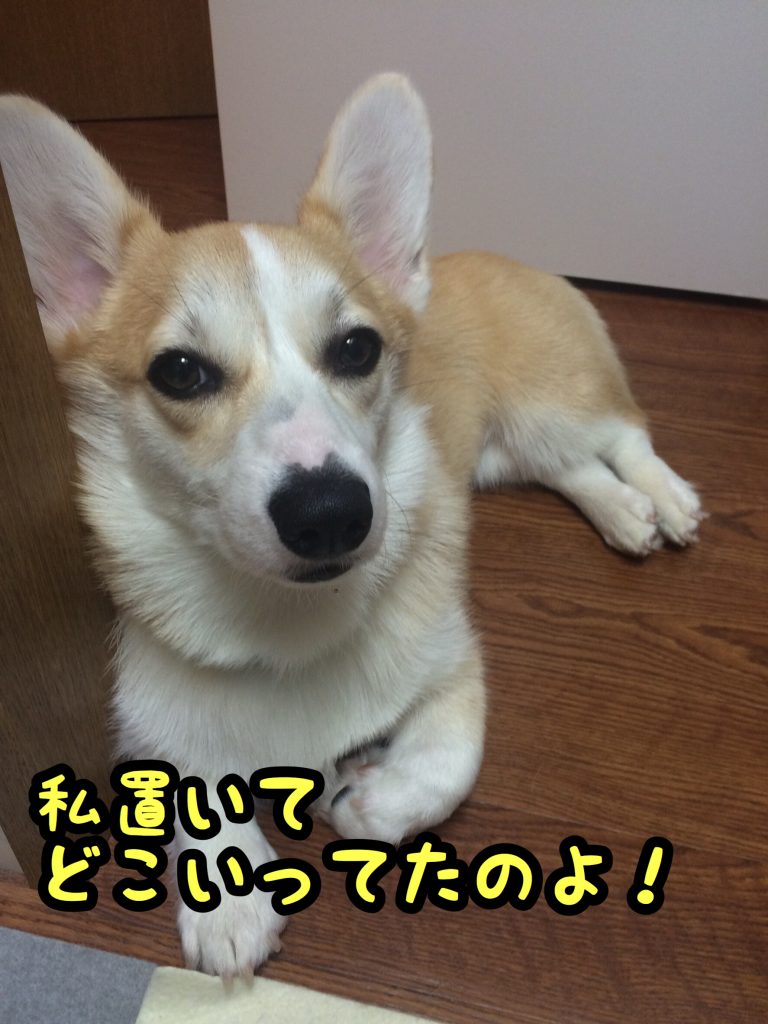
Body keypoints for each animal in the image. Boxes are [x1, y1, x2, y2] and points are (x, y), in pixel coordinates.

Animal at [0, 74, 702, 974]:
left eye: (356, 350)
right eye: (180, 372)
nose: (331, 514)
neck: (287, 615)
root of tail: (507, 258)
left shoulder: (455, 669)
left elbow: (447, 766)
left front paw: (371, 803)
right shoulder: (153, 707)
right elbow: (192, 784)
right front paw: (230, 903)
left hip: (552, 408)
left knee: (623, 437)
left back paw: (667, 500)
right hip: (503, 454)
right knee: (574, 469)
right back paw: (626, 515)